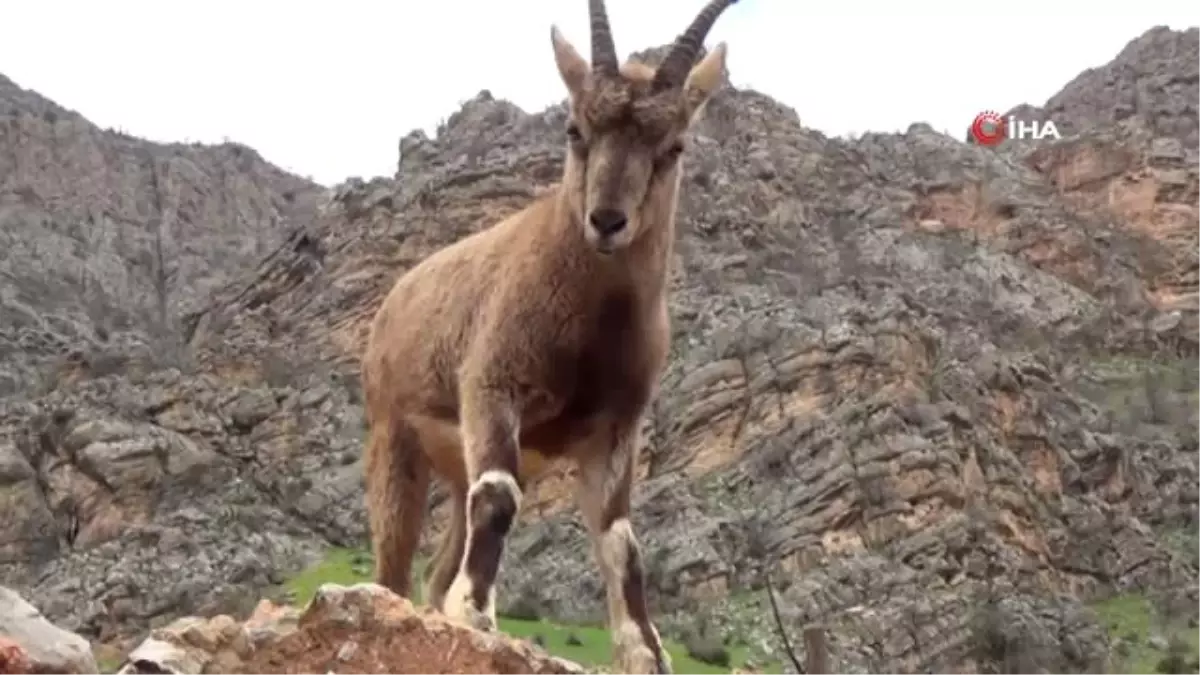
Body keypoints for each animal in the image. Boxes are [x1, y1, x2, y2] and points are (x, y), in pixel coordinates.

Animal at [357, 2, 729, 667]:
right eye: (575, 129)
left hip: (453, 466)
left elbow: (620, 540)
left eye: (674, 145)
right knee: (394, 566)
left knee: (436, 564)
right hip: (395, 438)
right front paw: (476, 615)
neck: (591, 329)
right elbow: (501, 495)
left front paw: (646, 653)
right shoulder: (493, 386)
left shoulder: (614, 430)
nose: (606, 220)